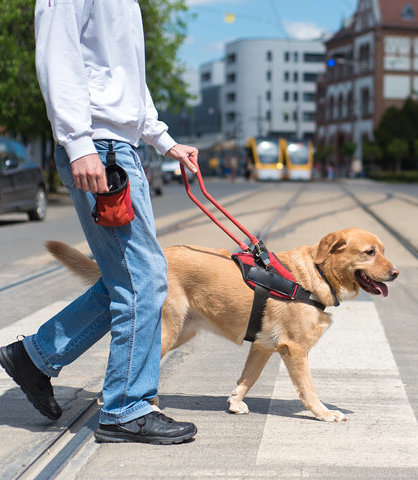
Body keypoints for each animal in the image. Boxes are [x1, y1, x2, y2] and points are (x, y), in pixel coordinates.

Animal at [45, 227, 398, 422]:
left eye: (384, 250)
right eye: (369, 252)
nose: (395, 273)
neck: (315, 274)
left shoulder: (263, 347)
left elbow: (247, 378)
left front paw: (235, 403)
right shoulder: (295, 350)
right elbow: (308, 389)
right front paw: (323, 413)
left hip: (182, 331)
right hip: (167, 330)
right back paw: (132, 405)